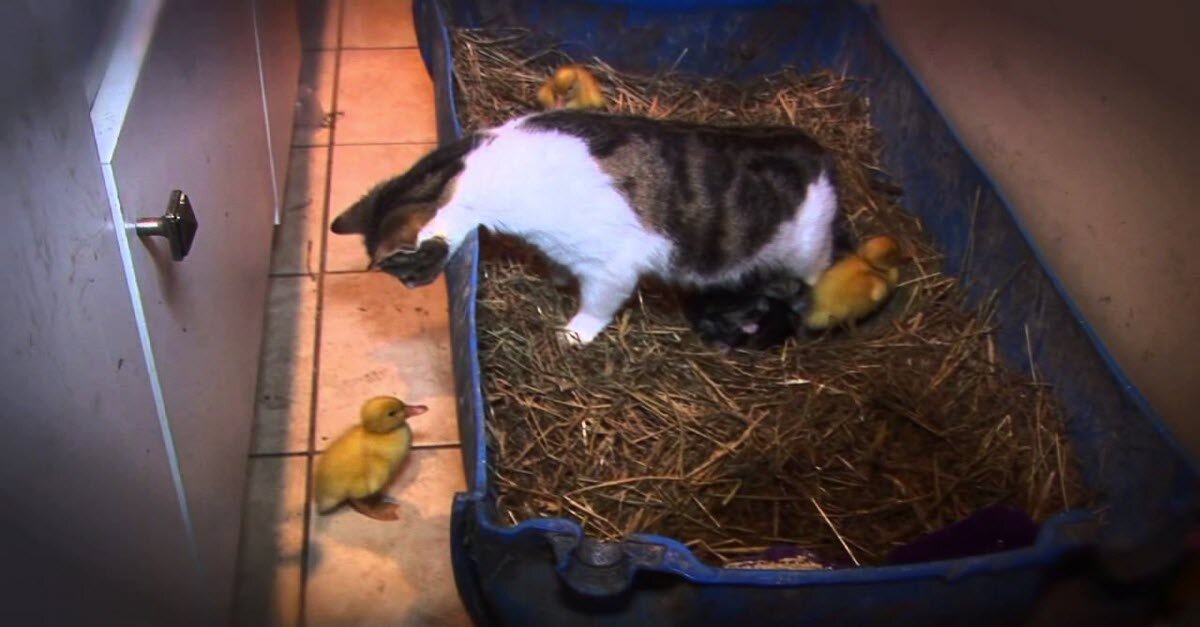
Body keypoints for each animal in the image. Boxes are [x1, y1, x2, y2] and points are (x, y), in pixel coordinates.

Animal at [324, 106, 840, 341]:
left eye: (406, 271)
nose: (411, 288)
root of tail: (814, 147)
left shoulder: (613, 266)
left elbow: (598, 302)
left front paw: (575, 333)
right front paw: (556, 277)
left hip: (807, 247)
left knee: (817, 272)